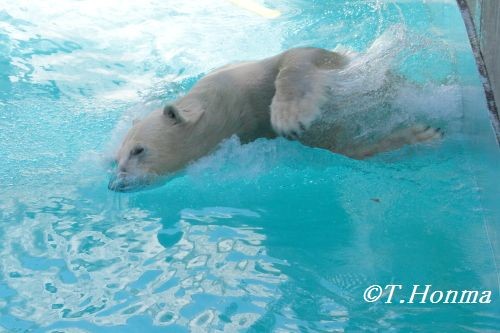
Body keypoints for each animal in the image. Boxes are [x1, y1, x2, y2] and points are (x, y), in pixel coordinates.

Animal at [108, 43, 442, 191]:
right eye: (117, 158)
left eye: (138, 150)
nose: (115, 183)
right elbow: (344, 147)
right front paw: (418, 135)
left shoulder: (247, 79)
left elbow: (298, 58)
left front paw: (290, 115)